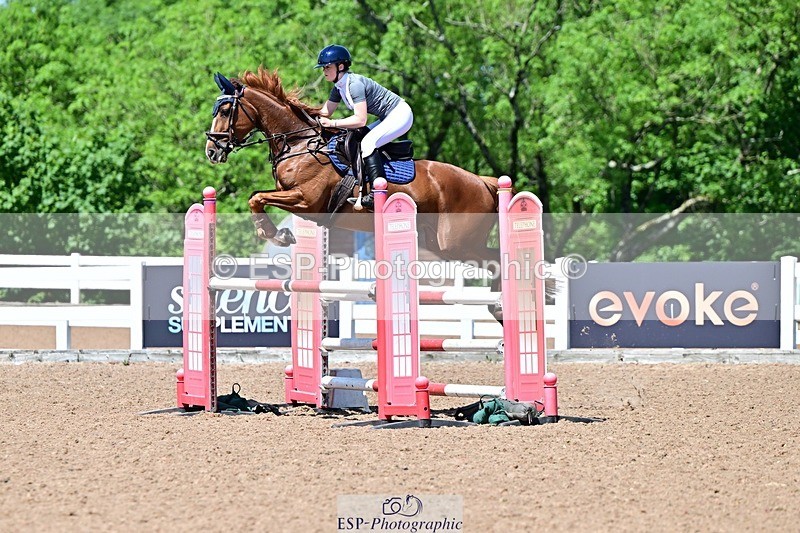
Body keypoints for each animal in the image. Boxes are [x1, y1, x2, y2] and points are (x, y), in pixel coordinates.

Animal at [204, 67, 505, 269]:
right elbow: (256, 196)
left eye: (225, 111)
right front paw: (277, 233)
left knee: (497, 262)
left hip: (456, 242)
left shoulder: (306, 201)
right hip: (443, 245)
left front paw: (273, 234)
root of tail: (482, 181)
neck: (300, 143)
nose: (211, 151)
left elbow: (256, 198)